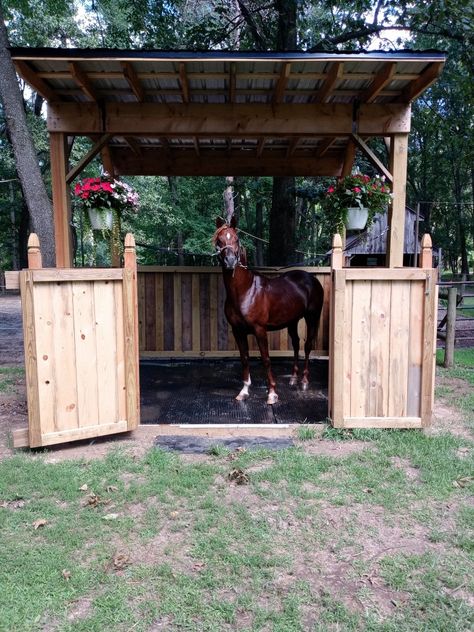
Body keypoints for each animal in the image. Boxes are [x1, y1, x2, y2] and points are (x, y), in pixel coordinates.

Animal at [213, 217, 324, 404]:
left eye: (236, 239)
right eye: (219, 240)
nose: (230, 261)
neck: (245, 291)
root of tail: (311, 279)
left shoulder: (259, 330)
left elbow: (266, 359)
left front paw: (272, 393)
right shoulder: (238, 331)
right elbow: (244, 358)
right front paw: (244, 391)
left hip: (312, 318)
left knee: (307, 345)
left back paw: (304, 381)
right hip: (292, 321)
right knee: (296, 343)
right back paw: (293, 378)